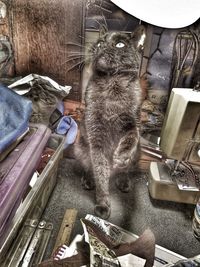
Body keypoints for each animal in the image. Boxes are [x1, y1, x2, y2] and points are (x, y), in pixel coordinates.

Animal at [75, 25, 145, 220]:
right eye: (99, 42)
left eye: (120, 44)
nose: (100, 46)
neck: (112, 85)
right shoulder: (96, 136)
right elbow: (100, 171)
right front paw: (103, 204)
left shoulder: (134, 122)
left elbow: (132, 135)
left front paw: (121, 155)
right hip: (80, 148)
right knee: (88, 167)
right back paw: (88, 180)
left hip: (138, 153)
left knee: (126, 170)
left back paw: (123, 180)